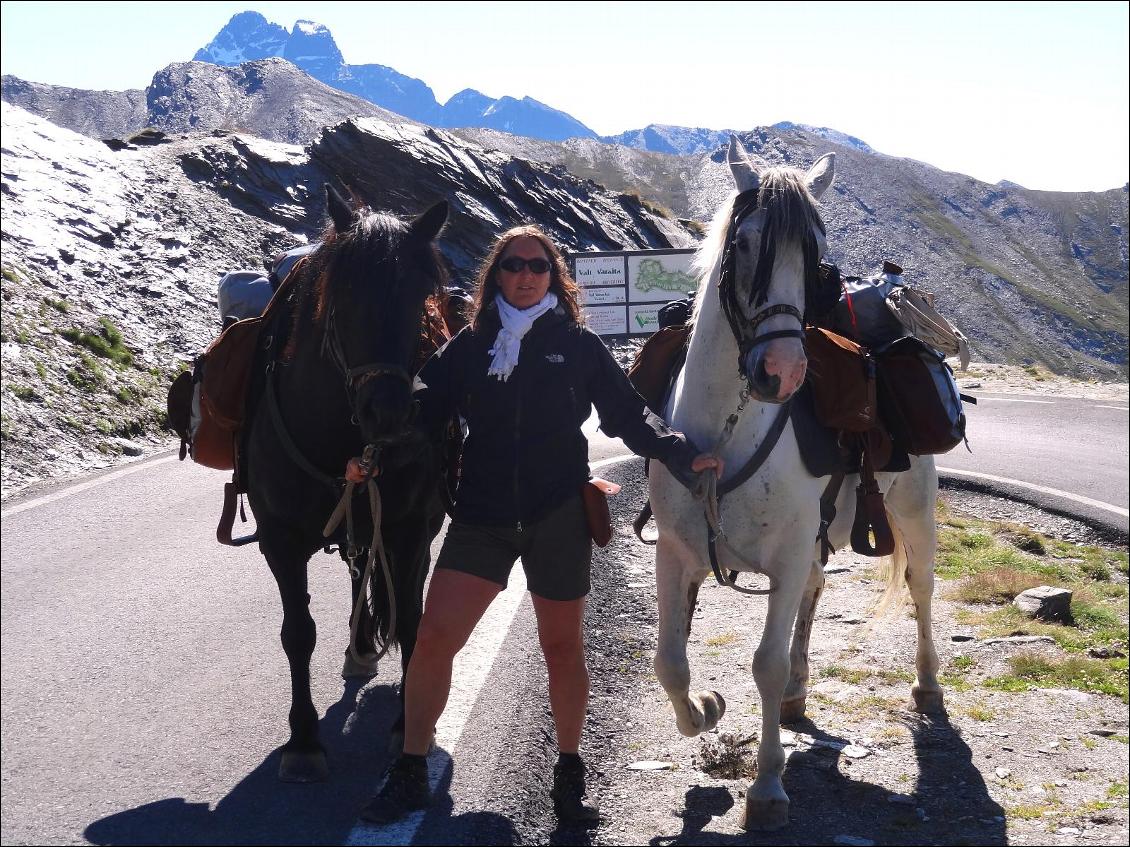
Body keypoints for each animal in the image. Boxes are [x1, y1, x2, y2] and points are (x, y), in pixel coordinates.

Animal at [245, 185, 447, 781]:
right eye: (342, 297)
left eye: (421, 300)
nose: (390, 412)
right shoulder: (280, 539)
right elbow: (297, 633)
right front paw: (303, 740)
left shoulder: (408, 529)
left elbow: (412, 620)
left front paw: (408, 725)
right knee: (360, 573)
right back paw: (357, 650)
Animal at [646, 136, 944, 831]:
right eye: (743, 242)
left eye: (816, 255)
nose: (780, 373)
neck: (725, 431)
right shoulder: (675, 553)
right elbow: (670, 658)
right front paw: (704, 709)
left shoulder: (781, 556)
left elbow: (766, 662)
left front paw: (767, 787)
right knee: (815, 589)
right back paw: (799, 694)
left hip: (913, 512)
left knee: (920, 588)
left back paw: (926, 684)